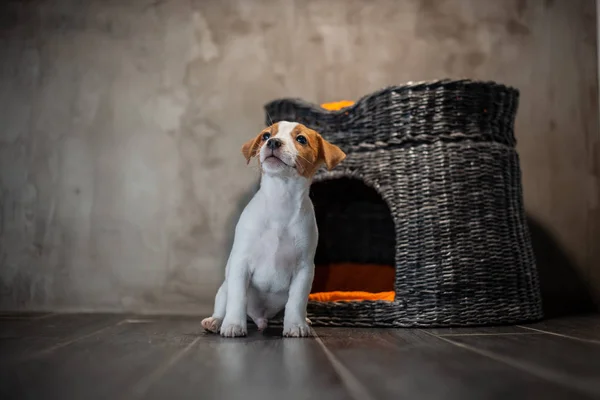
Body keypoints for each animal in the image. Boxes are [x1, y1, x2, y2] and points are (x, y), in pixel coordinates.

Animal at [200, 121, 344, 338]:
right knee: (222, 304)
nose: (273, 142)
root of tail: (261, 318)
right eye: (266, 136)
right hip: (223, 288)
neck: (280, 199)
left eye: (301, 139)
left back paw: (304, 320)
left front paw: (296, 326)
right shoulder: (241, 262)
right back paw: (215, 322)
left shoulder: (304, 269)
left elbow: (296, 302)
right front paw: (233, 325)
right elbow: (237, 298)